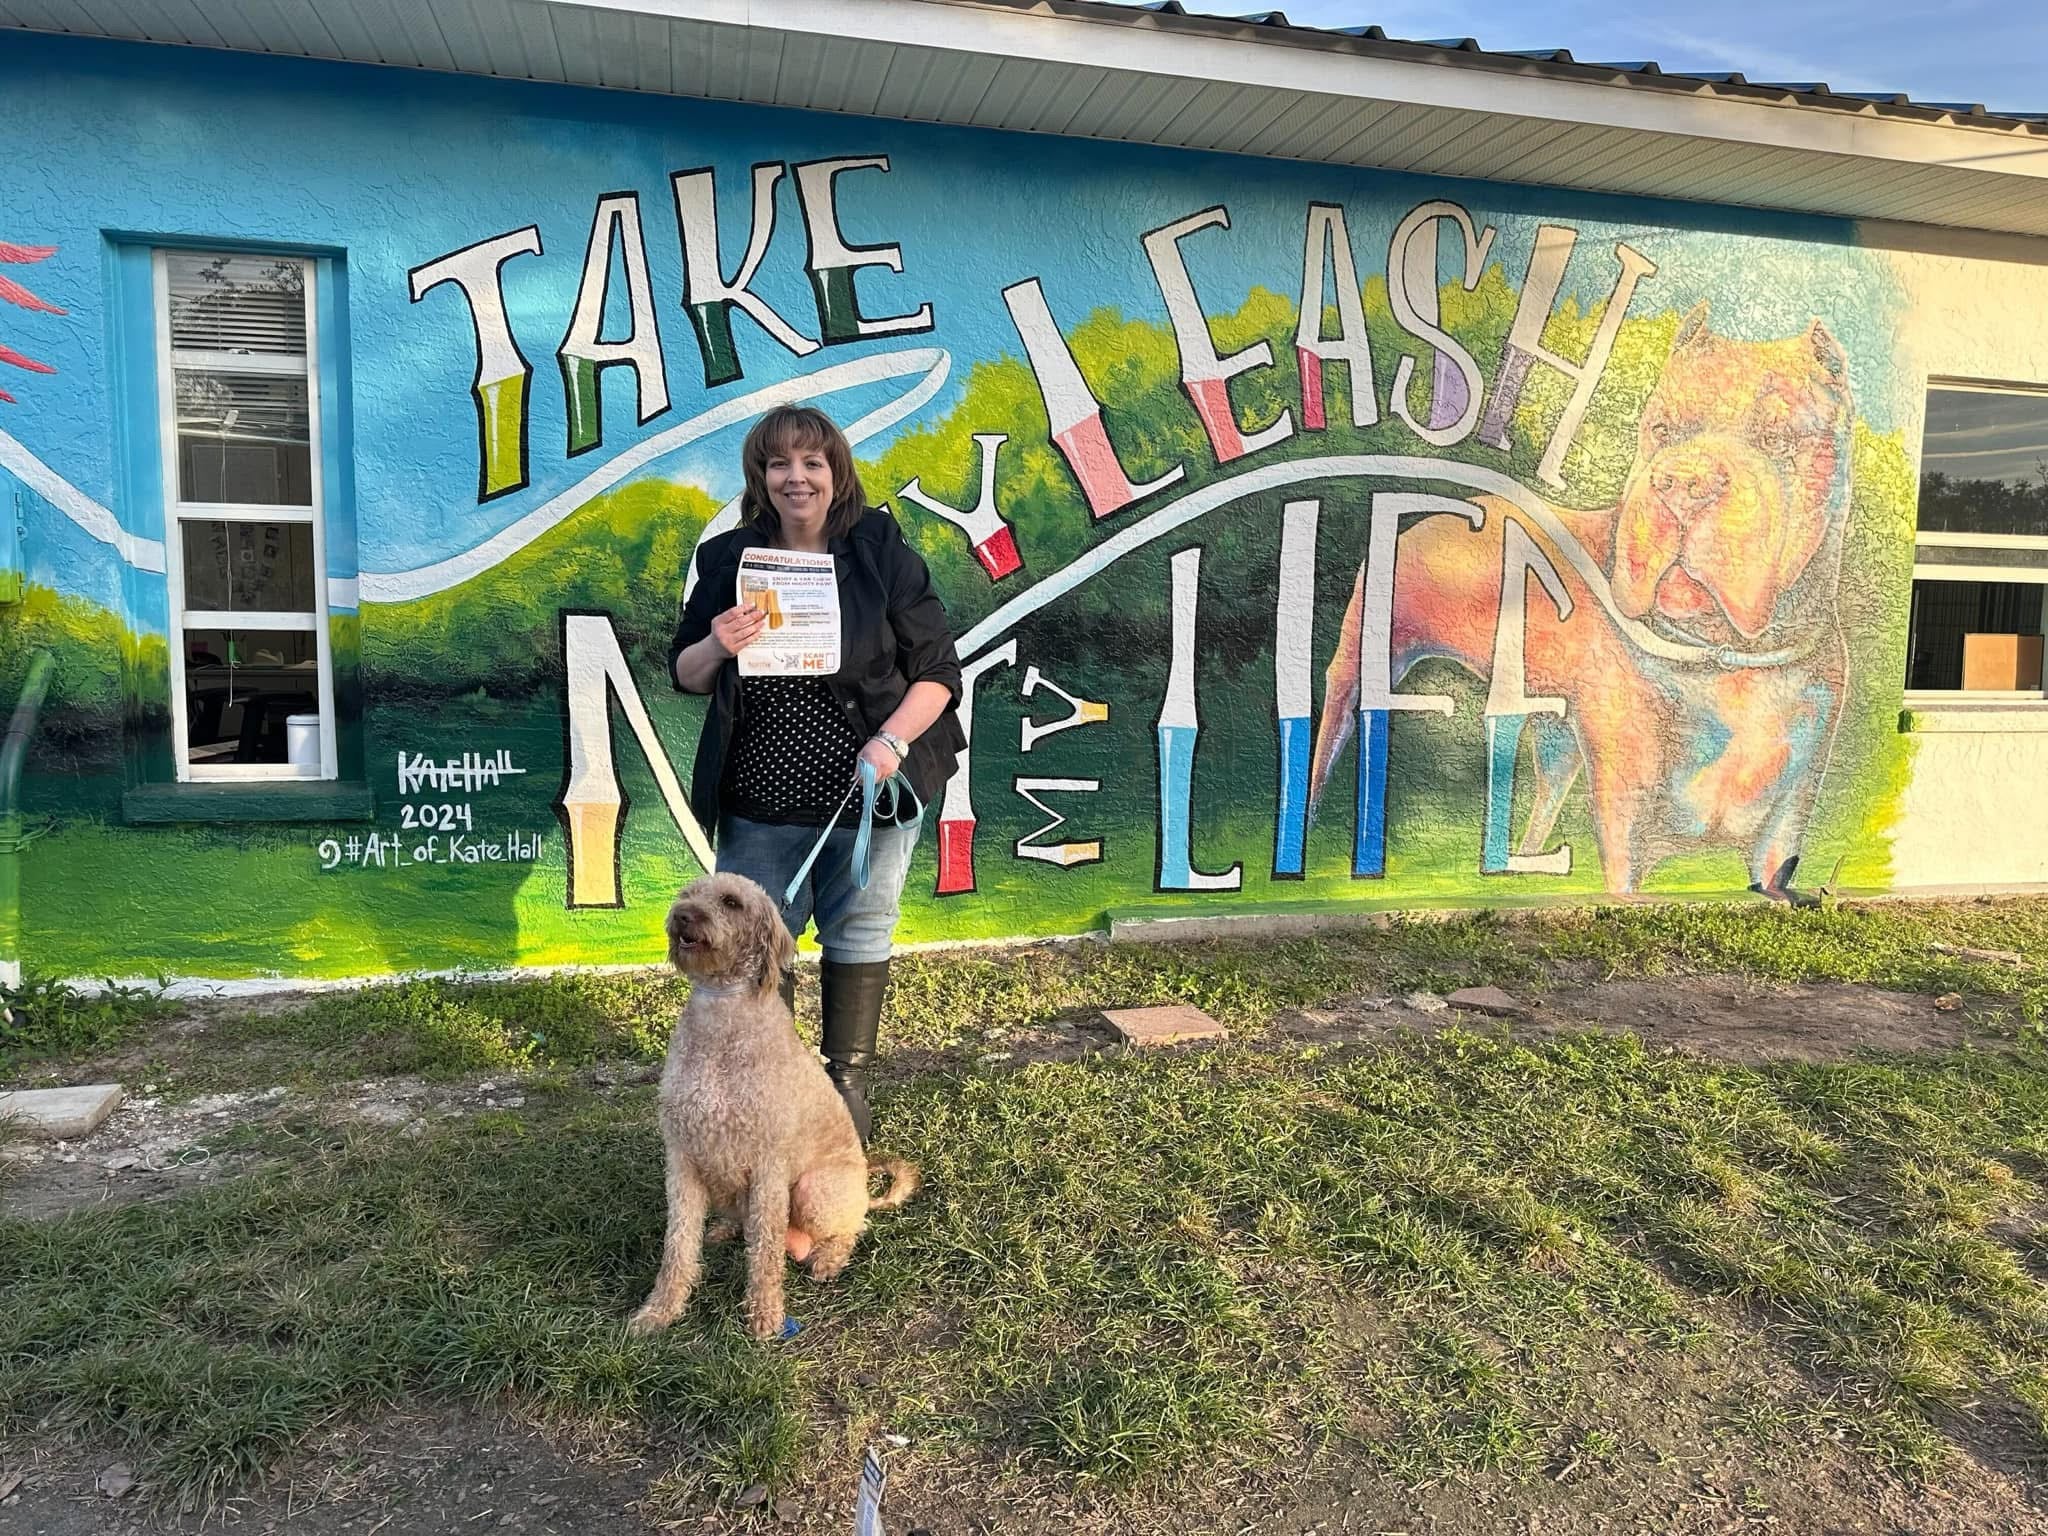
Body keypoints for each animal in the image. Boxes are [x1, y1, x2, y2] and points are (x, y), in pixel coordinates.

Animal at [622, 872, 913, 1343]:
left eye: (731, 902)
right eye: (687, 894)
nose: (683, 915)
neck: (721, 1009)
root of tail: (865, 1192)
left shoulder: (768, 1167)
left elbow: (764, 1254)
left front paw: (766, 1315)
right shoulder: (682, 1161)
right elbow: (678, 1246)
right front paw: (660, 1311)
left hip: (814, 1190)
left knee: (851, 1229)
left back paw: (828, 1259)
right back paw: (727, 1228)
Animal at [1310, 303, 1859, 901]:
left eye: (1779, 440)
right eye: (1661, 431)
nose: (1682, 481)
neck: (1727, 659)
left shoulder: (1786, 823)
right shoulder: (1627, 823)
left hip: (1549, 729)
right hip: (1355, 669)